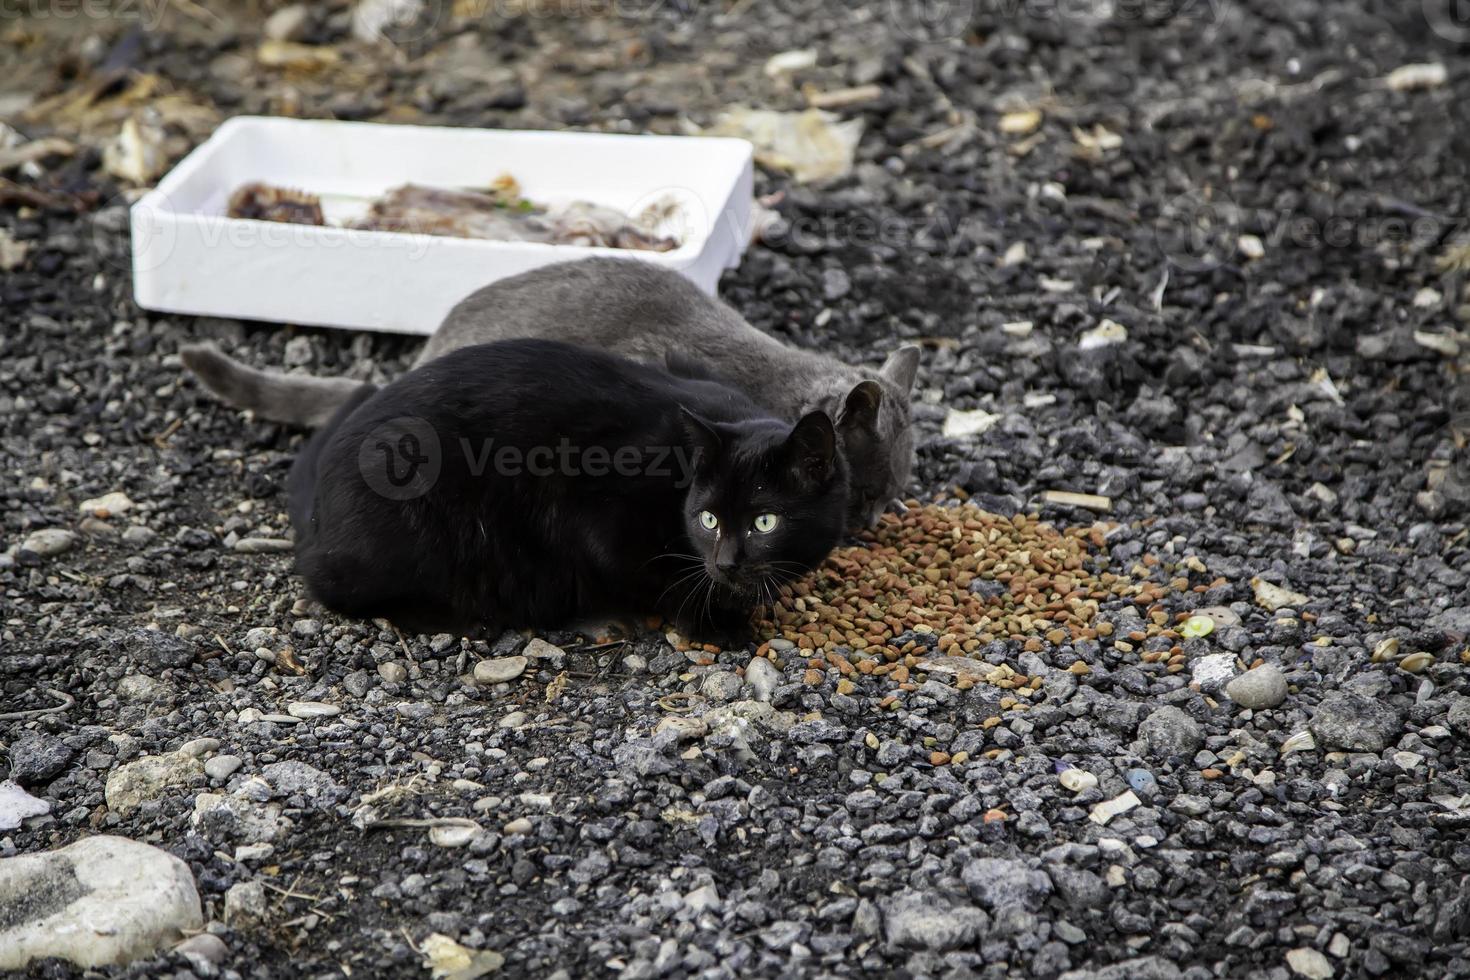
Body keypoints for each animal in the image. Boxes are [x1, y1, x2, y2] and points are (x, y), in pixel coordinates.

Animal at [289, 340, 852, 646]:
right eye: (708, 519)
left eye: (764, 522)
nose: (729, 562)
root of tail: (316, 513)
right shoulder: (596, 515)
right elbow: (661, 577)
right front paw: (715, 620)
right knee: (337, 588)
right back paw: (473, 620)